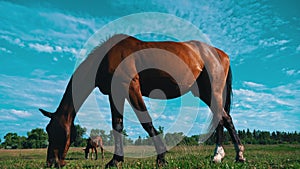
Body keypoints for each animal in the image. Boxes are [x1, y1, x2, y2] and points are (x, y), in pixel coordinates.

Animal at [39, 33, 245, 168]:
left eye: (54, 130)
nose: (51, 163)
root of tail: (220, 53)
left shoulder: (131, 87)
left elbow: (146, 122)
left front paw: (161, 158)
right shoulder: (115, 94)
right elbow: (117, 125)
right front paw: (115, 160)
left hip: (213, 92)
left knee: (225, 118)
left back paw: (239, 155)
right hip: (206, 94)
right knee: (221, 119)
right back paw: (217, 156)